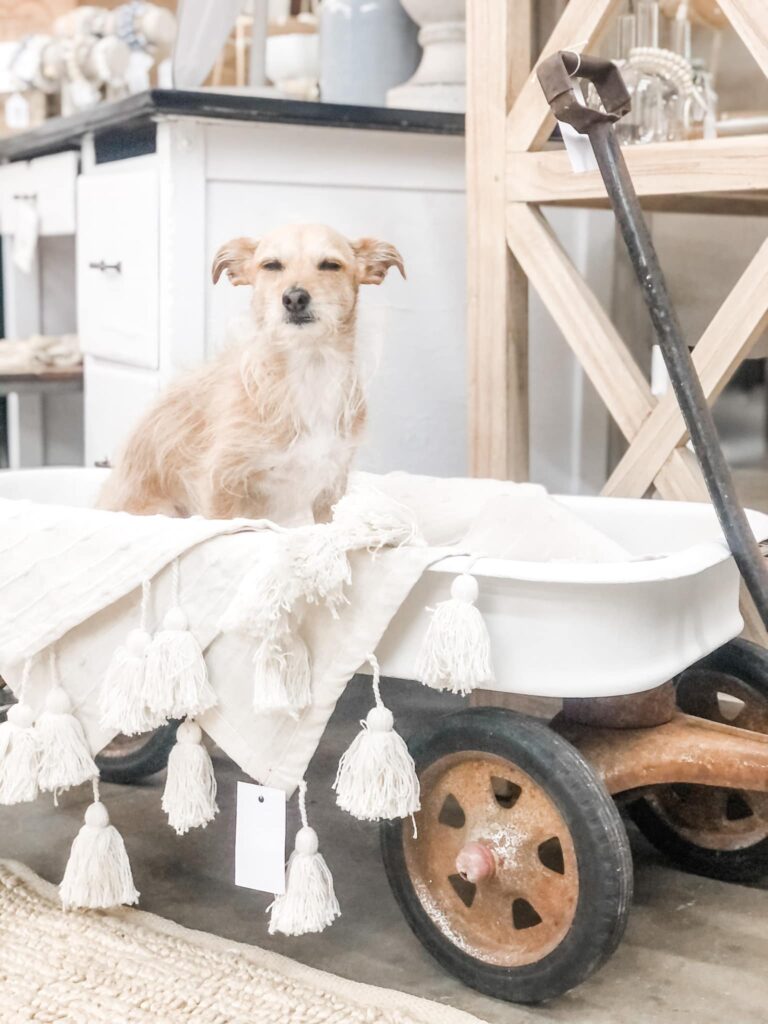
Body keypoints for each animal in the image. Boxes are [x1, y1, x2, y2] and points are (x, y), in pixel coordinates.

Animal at [97, 225, 403, 528]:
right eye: (271, 265)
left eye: (330, 265)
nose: (294, 298)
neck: (307, 368)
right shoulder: (219, 482)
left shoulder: (330, 487)